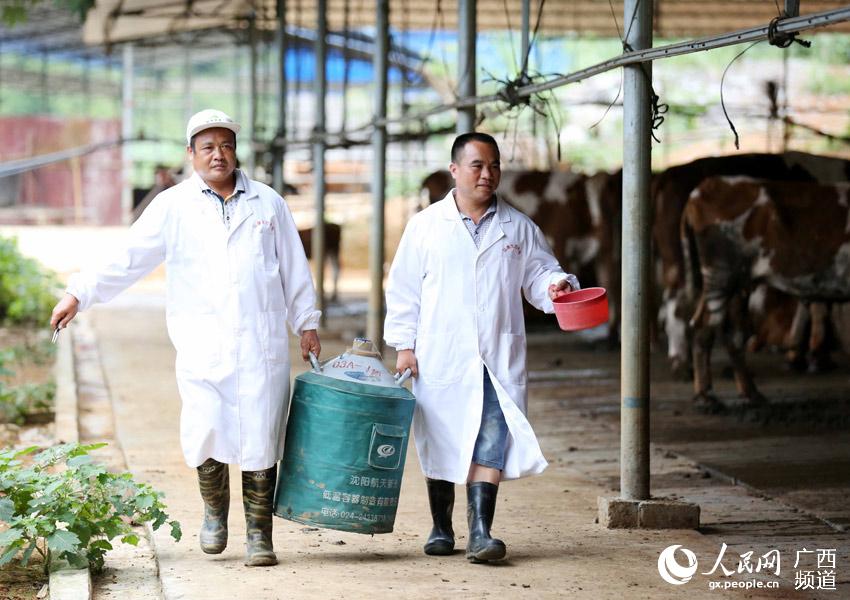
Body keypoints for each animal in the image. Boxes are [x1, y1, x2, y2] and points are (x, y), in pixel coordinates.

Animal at [652, 151, 848, 376]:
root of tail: (668, 174)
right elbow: (817, 305)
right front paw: (811, 357)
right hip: (687, 262)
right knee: (676, 304)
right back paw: (682, 363)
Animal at [684, 176, 848, 406]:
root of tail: (705, 186)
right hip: (720, 271)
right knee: (705, 327)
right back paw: (705, 396)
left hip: (735, 282)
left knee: (732, 334)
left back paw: (751, 392)